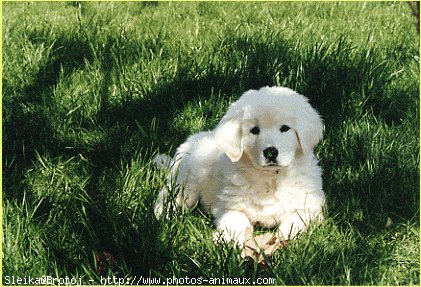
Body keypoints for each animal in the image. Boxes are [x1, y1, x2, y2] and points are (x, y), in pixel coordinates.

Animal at [154, 86, 324, 246]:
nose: (270, 152)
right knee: (170, 195)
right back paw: (163, 215)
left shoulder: (312, 205)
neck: (269, 178)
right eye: (254, 130)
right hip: (188, 180)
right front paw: (227, 241)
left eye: (285, 128)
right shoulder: (230, 207)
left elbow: (296, 219)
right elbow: (236, 221)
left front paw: (285, 237)